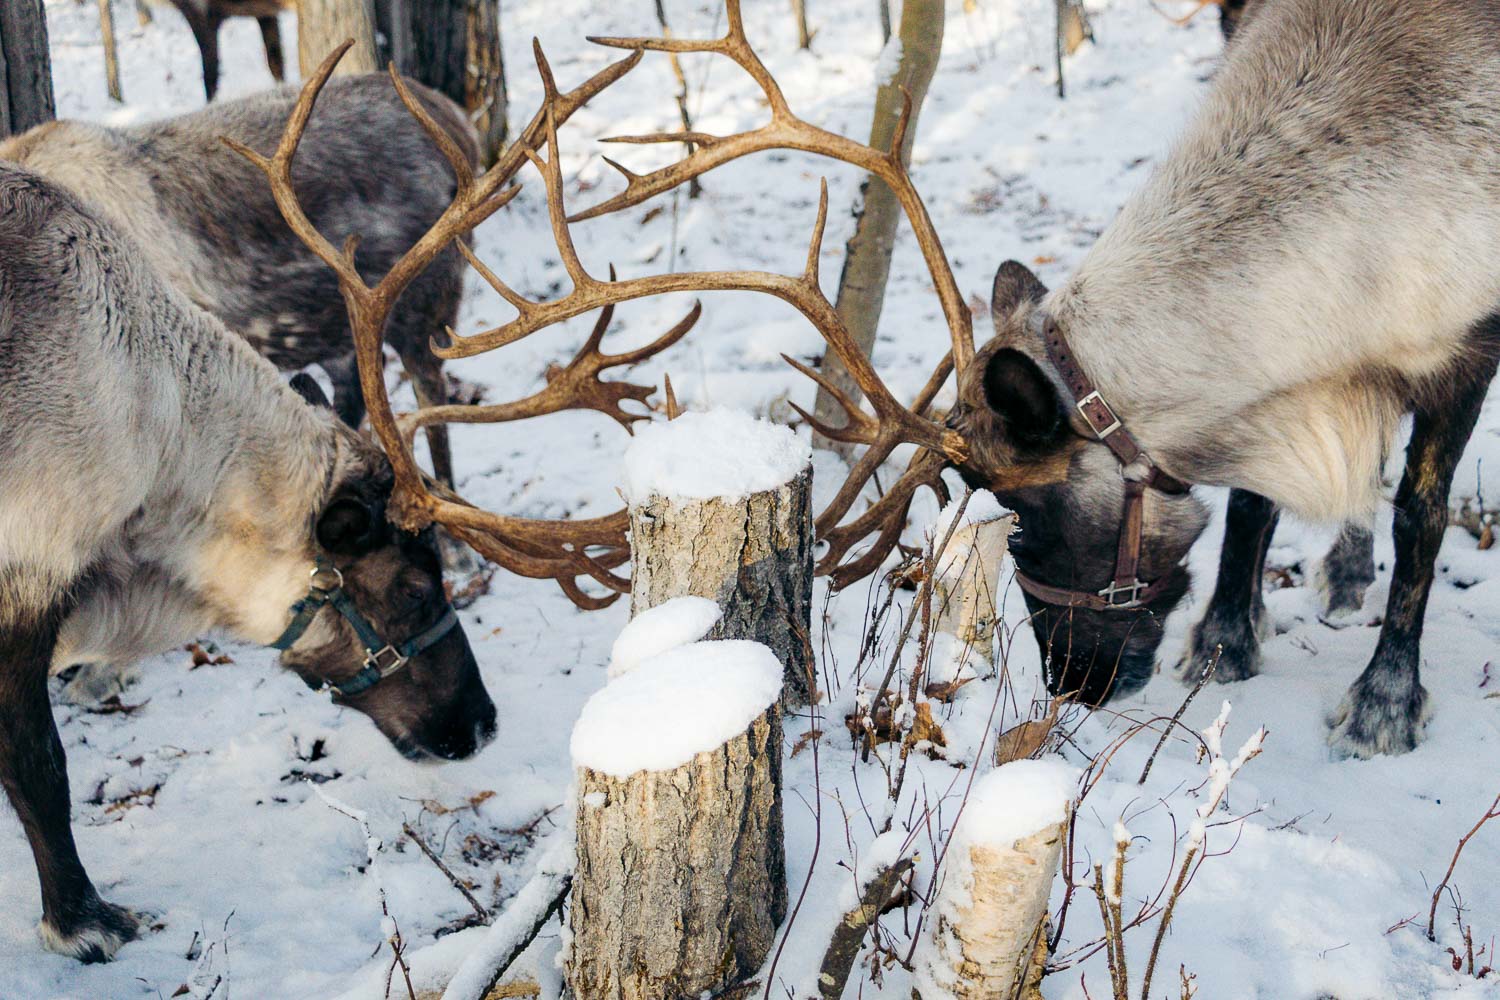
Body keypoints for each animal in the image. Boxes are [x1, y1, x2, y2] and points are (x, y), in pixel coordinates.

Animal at [0, 46, 692, 962]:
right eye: (412, 591)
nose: (482, 725)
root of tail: (450, 108)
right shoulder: (28, 573)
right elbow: (41, 767)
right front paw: (82, 920)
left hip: (427, 303)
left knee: (429, 391)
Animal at [252, 2, 1496, 765]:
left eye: (1032, 527)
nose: (1074, 689)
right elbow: (1256, 493)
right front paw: (1231, 633)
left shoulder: (1469, 335)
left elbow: (1425, 512)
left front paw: (1385, 702)